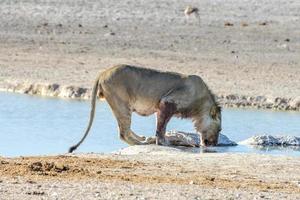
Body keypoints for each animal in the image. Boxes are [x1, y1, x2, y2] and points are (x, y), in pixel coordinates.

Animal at [69, 65, 221, 152]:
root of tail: (103, 72)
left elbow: (161, 126)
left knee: (125, 129)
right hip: (122, 104)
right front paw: (164, 142)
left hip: (122, 106)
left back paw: (143, 138)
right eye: (219, 130)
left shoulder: (160, 107)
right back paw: (142, 143)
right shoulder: (167, 102)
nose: (215, 144)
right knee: (123, 132)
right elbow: (161, 128)